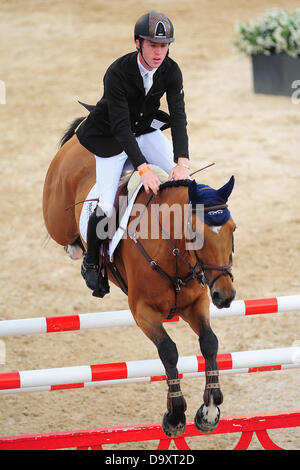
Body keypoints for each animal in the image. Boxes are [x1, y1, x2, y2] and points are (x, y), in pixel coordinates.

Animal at [42, 120, 237, 436]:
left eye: (233, 228)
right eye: (195, 234)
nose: (225, 295)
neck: (171, 251)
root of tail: (78, 137)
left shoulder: (196, 304)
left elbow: (210, 342)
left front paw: (209, 410)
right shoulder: (143, 311)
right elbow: (169, 351)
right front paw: (175, 415)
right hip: (56, 217)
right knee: (71, 230)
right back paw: (83, 260)